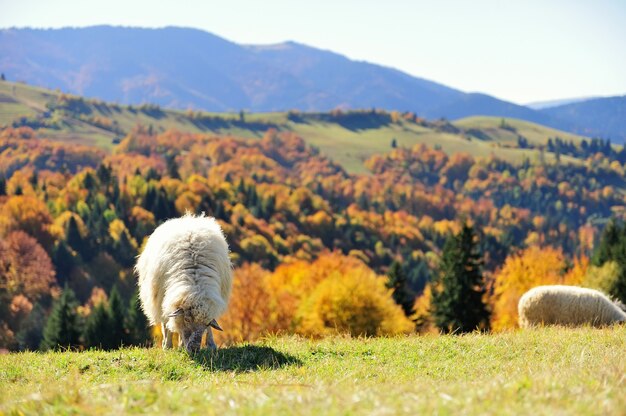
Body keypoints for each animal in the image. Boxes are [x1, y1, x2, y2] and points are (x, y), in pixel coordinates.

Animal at [135, 214, 233, 352]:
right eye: (186, 319)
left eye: (206, 324)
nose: (195, 349)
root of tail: (187, 218)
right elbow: (168, 325)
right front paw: (168, 346)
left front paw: (211, 345)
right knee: (166, 324)